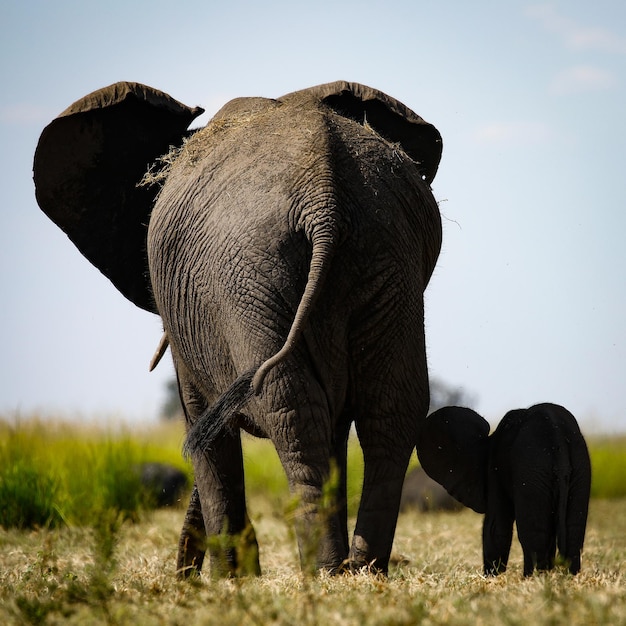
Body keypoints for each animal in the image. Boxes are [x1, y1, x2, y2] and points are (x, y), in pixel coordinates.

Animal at [34, 80, 442, 576]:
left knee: (290, 405)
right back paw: (361, 571)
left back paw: (321, 570)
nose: (183, 573)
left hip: (250, 278)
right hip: (388, 258)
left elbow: (201, 424)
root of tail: (325, 200)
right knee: (391, 406)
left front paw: (230, 580)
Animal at [414, 402, 588, 572]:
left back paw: (533, 577)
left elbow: (495, 528)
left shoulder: (495, 470)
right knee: (573, 530)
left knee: (533, 533)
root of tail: (557, 436)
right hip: (579, 466)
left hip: (531, 468)